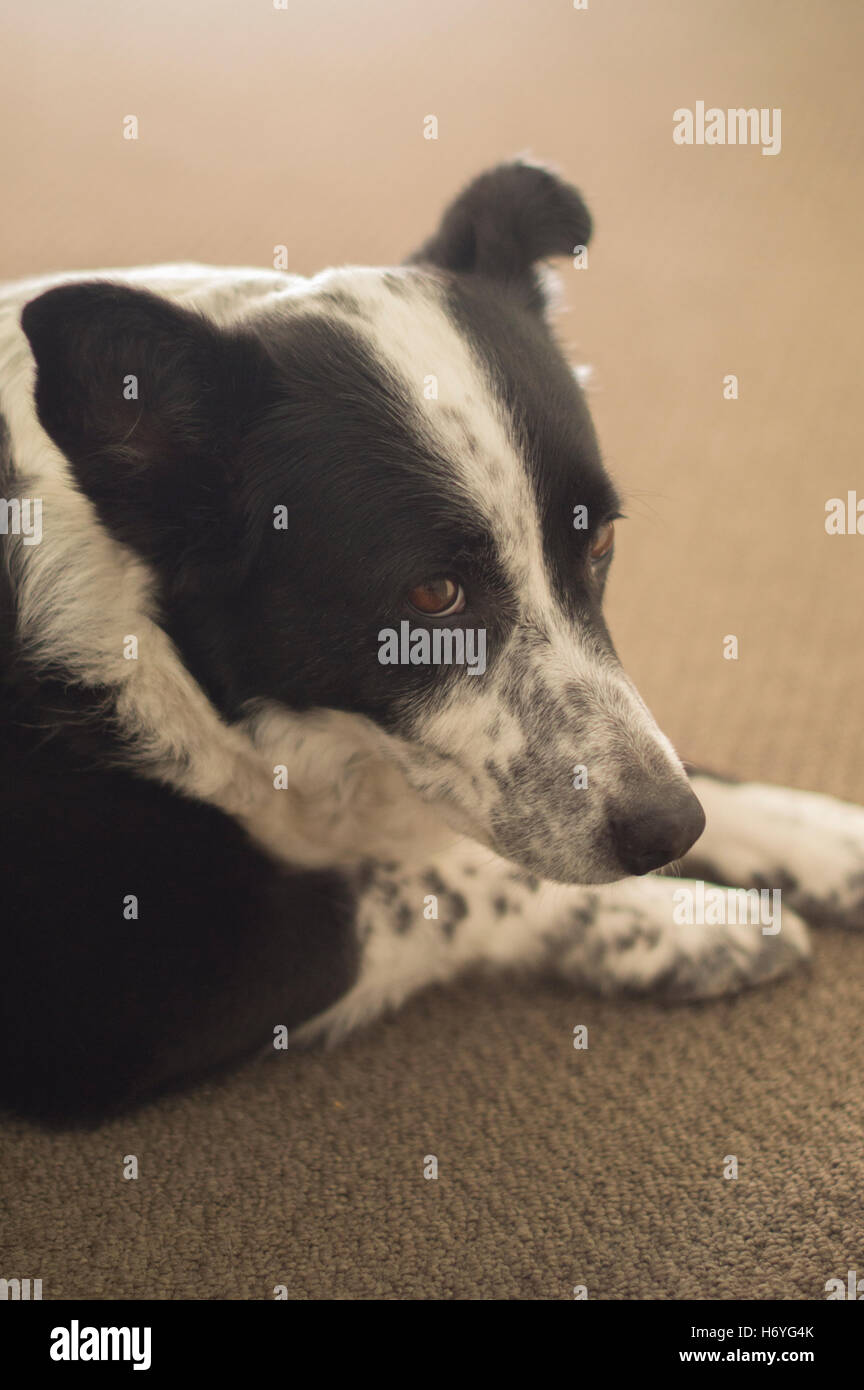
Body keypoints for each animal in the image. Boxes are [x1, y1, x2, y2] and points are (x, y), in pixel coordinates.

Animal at [1, 157, 864, 1123]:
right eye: (434, 597)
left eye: (599, 540)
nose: (669, 833)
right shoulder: (114, 993)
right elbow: (437, 882)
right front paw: (688, 922)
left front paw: (818, 831)